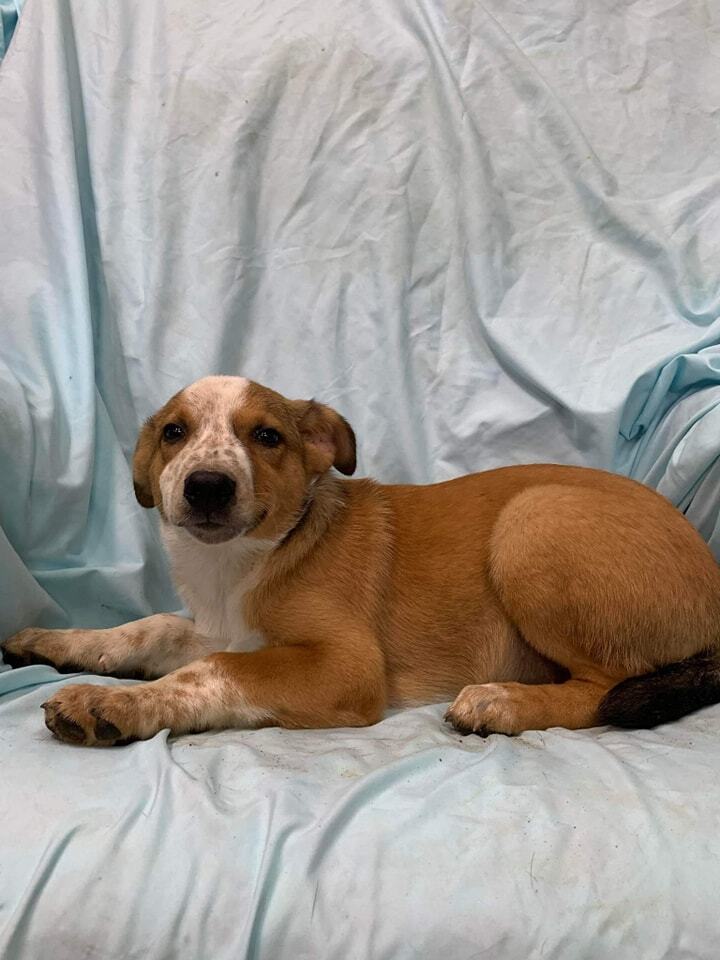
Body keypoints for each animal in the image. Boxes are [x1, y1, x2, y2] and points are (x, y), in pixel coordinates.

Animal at [4, 372, 720, 748]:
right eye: (175, 433)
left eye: (268, 437)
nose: (207, 487)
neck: (256, 558)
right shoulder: (223, 628)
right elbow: (145, 630)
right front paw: (51, 642)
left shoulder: (343, 664)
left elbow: (211, 673)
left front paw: (115, 705)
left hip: (530, 526)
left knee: (605, 690)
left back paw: (503, 703)